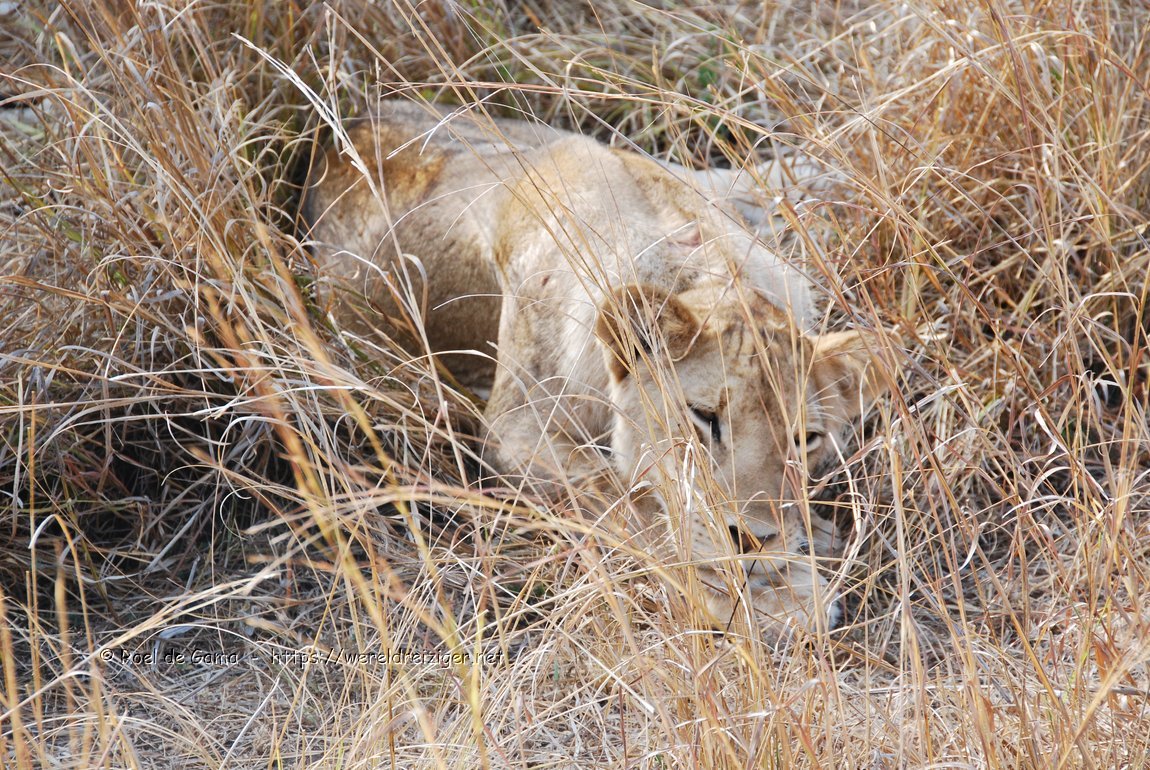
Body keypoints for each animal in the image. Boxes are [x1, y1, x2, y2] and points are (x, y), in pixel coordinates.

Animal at [303, 100, 897, 638]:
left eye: (805, 439)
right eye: (704, 418)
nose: (752, 540)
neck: (697, 267)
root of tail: (336, 137)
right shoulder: (515, 432)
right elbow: (625, 502)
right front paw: (776, 597)